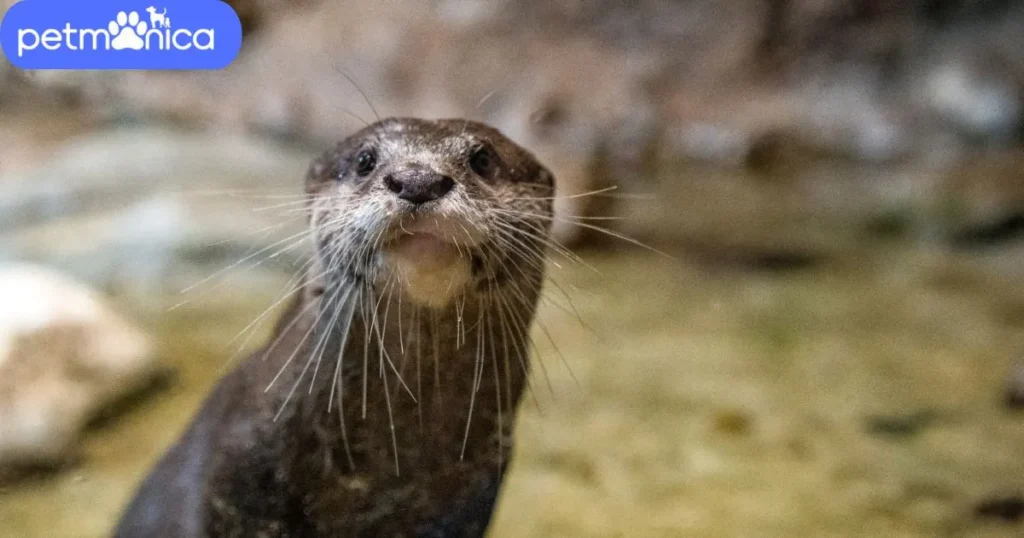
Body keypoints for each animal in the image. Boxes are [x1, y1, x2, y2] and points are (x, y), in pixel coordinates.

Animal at [116, 118, 557, 536]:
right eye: (364, 160)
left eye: (482, 159)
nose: (418, 181)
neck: (386, 469)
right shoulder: (236, 464)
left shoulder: (475, 491)